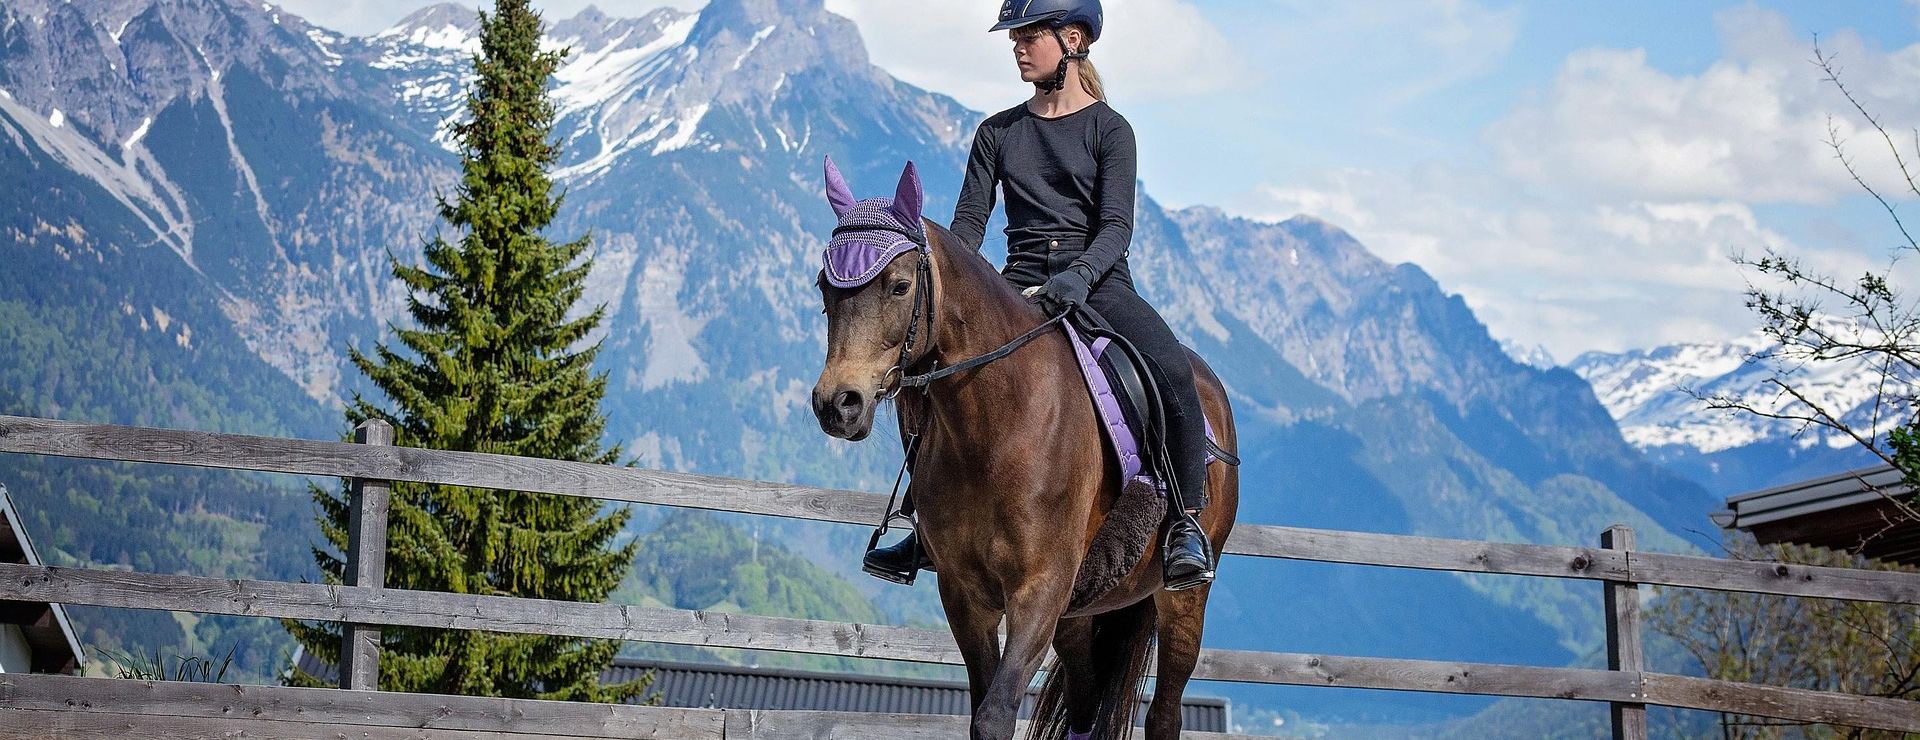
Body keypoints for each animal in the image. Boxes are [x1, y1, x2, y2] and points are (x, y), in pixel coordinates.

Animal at [810, 158, 1239, 740]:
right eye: (824, 288)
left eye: (899, 286)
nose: (838, 404)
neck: (994, 432)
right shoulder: (964, 595)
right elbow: (982, 707)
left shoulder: (1040, 590)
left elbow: (994, 716)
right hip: (1082, 609)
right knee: (1085, 707)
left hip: (1183, 603)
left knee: (1165, 713)